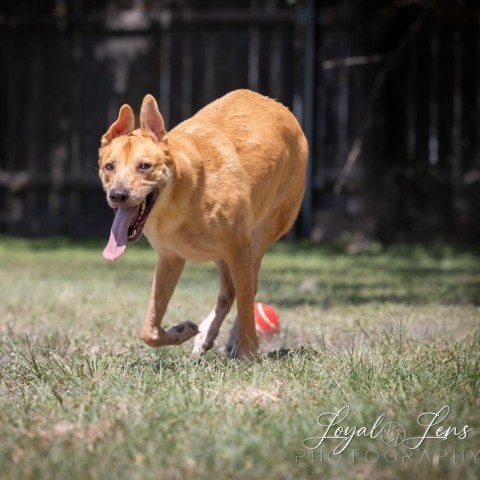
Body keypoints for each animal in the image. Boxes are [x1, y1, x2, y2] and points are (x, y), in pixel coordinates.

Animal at [98, 91, 308, 360]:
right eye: (109, 166)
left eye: (144, 166)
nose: (118, 195)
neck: (179, 196)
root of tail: (281, 107)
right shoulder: (170, 258)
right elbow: (149, 329)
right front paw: (180, 331)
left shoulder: (239, 250)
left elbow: (246, 304)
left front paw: (248, 353)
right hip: (223, 256)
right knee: (229, 293)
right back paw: (207, 335)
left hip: (261, 235)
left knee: (249, 290)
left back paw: (234, 340)